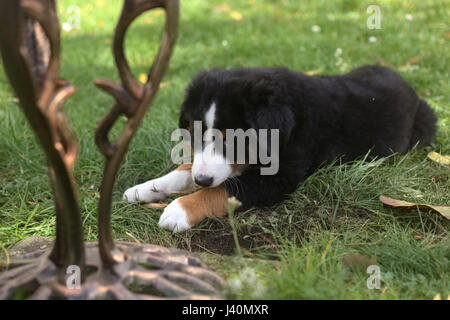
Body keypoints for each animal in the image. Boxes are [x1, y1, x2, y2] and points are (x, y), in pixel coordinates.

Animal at [123, 66, 436, 232]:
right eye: (197, 133)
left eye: (233, 140)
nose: (201, 180)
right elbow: (185, 169)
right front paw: (145, 188)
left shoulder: (278, 178)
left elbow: (221, 190)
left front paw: (179, 210)